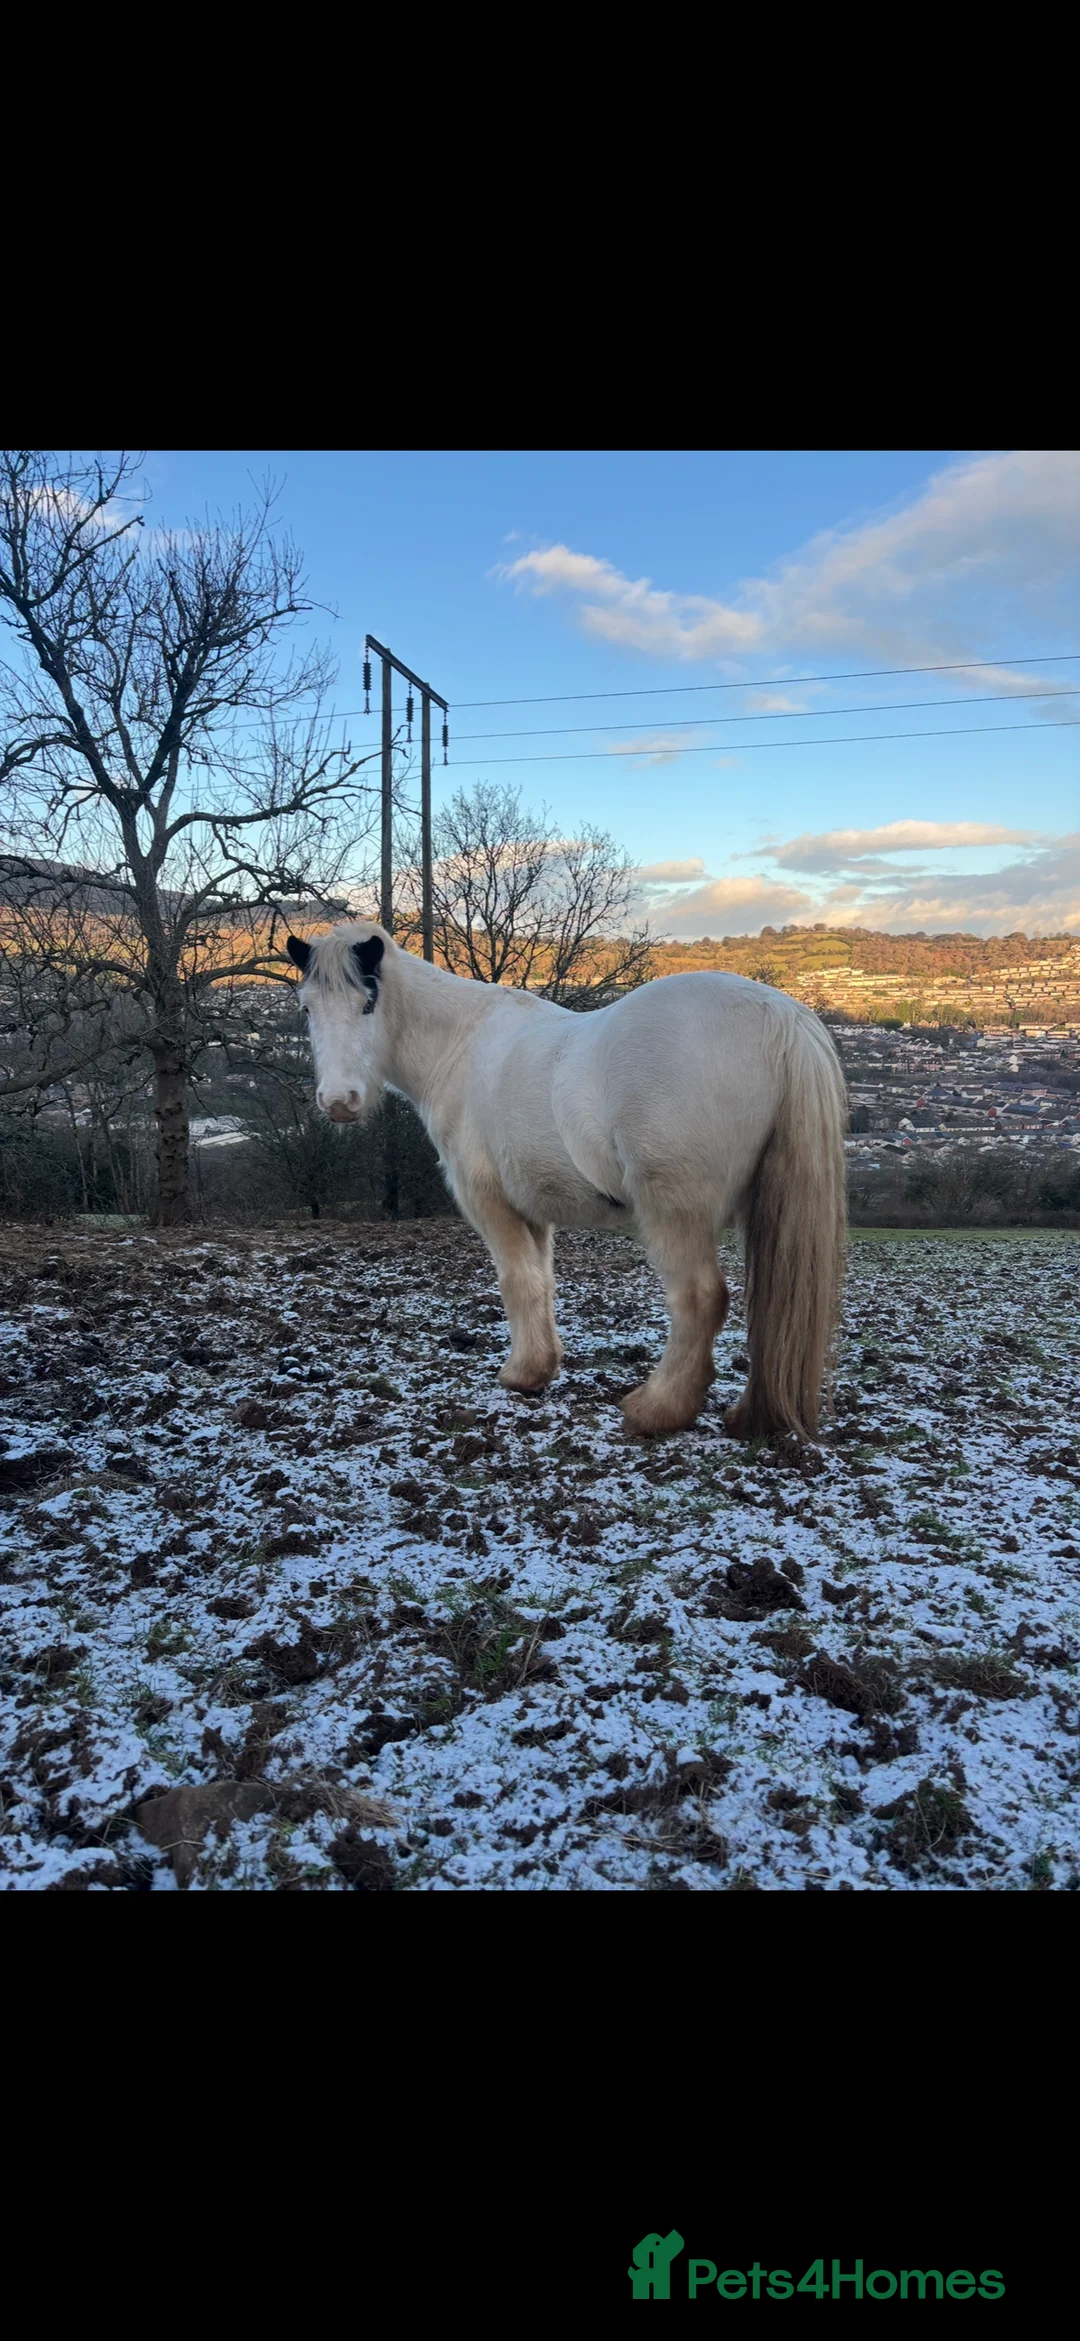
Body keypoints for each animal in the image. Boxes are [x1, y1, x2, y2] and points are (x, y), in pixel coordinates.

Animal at [286, 922, 847, 1441]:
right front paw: (541, 1367)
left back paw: (657, 1409)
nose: (338, 1101)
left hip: (674, 1210)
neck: (462, 1044)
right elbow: (541, 1283)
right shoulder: (535, 1213)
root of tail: (781, 1015)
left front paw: (521, 1375)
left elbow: (517, 1282)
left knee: (701, 1298)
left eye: (367, 1005)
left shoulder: (491, 1204)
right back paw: (752, 1417)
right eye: (308, 1009)